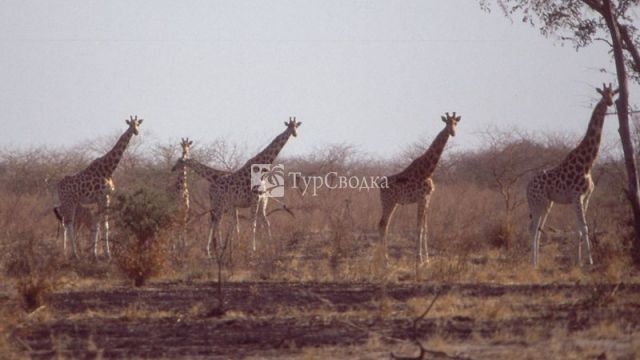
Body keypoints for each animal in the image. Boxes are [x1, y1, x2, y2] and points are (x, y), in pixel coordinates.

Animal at [55, 116, 143, 260]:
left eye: (138, 124)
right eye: (130, 125)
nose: (136, 132)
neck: (109, 170)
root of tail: (57, 186)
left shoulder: (99, 199)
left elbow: (96, 225)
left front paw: (94, 253)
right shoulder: (104, 197)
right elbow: (105, 225)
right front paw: (108, 254)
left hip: (68, 202)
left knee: (65, 223)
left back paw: (66, 252)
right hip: (70, 202)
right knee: (69, 224)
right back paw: (74, 254)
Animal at [208, 117, 302, 256]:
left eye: (296, 126)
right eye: (289, 126)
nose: (295, 134)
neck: (262, 170)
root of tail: (210, 188)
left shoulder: (261, 199)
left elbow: (264, 222)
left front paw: (269, 246)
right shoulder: (255, 199)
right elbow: (254, 223)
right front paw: (253, 248)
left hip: (222, 204)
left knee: (216, 222)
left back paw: (216, 248)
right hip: (219, 203)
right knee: (216, 223)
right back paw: (216, 249)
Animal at [378, 111, 462, 268]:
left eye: (455, 123)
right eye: (447, 123)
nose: (453, 133)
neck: (428, 171)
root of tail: (379, 185)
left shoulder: (428, 199)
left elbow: (425, 228)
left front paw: (427, 260)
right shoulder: (421, 198)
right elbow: (418, 228)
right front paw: (419, 260)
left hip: (393, 203)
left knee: (383, 225)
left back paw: (383, 259)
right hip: (389, 202)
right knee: (383, 225)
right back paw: (385, 261)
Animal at [528, 83, 616, 266]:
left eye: (613, 93)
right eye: (603, 94)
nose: (610, 102)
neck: (588, 163)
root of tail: (526, 187)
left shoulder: (585, 197)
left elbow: (579, 228)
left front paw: (579, 261)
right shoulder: (577, 197)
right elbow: (584, 227)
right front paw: (590, 261)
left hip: (547, 204)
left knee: (538, 229)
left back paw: (537, 262)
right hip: (537, 203)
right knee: (532, 229)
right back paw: (533, 264)